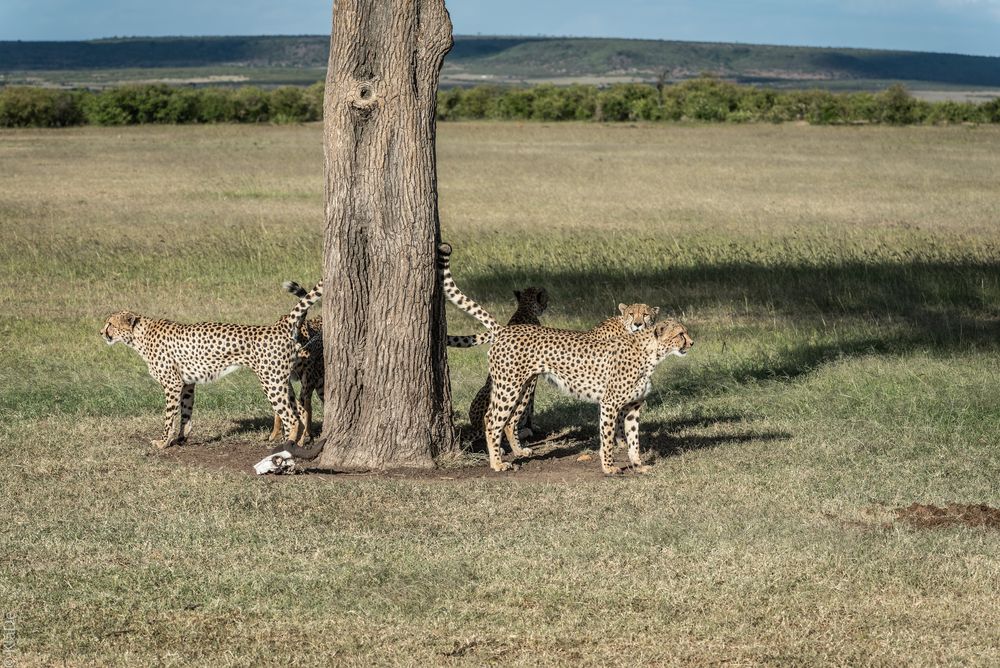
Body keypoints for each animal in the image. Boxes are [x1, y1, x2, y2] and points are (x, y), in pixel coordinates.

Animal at [101, 282, 322, 448]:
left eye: (110, 324)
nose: (101, 333)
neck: (139, 335)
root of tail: (278, 326)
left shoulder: (172, 384)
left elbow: (169, 417)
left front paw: (163, 442)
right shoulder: (187, 383)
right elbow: (186, 413)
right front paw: (182, 438)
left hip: (272, 383)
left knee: (290, 416)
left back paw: (288, 446)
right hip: (281, 380)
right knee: (300, 410)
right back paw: (299, 442)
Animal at [442, 245, 692, 474]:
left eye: (646, 315)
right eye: (680, 334)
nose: (691, 343)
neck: (651, 352)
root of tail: (505, 329)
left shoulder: (633, 406)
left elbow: (634, 439)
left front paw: (638, 465)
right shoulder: (609, 403)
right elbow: (609, 437)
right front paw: (609, 467)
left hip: (523, 386)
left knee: (504, 419)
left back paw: (514, 452)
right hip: (510, 387)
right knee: (493, 420)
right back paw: (497, 463)